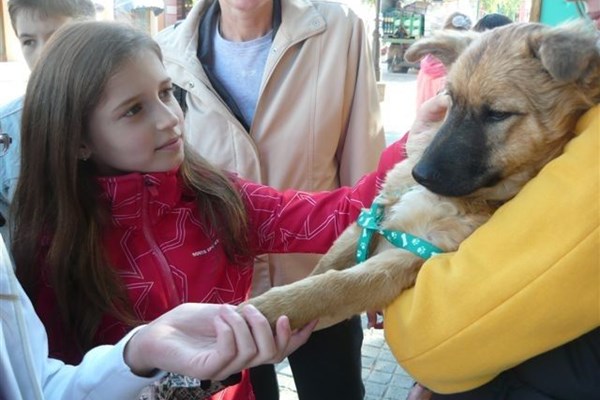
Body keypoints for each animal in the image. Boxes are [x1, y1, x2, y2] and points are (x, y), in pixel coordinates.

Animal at [244, 21, 600, 328]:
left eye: (498, 114)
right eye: (451, 100)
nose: (420, 174)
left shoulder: (410, 255)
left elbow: (333, 287)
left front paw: (266, 310)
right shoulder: (371, 216)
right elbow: (325, 268)